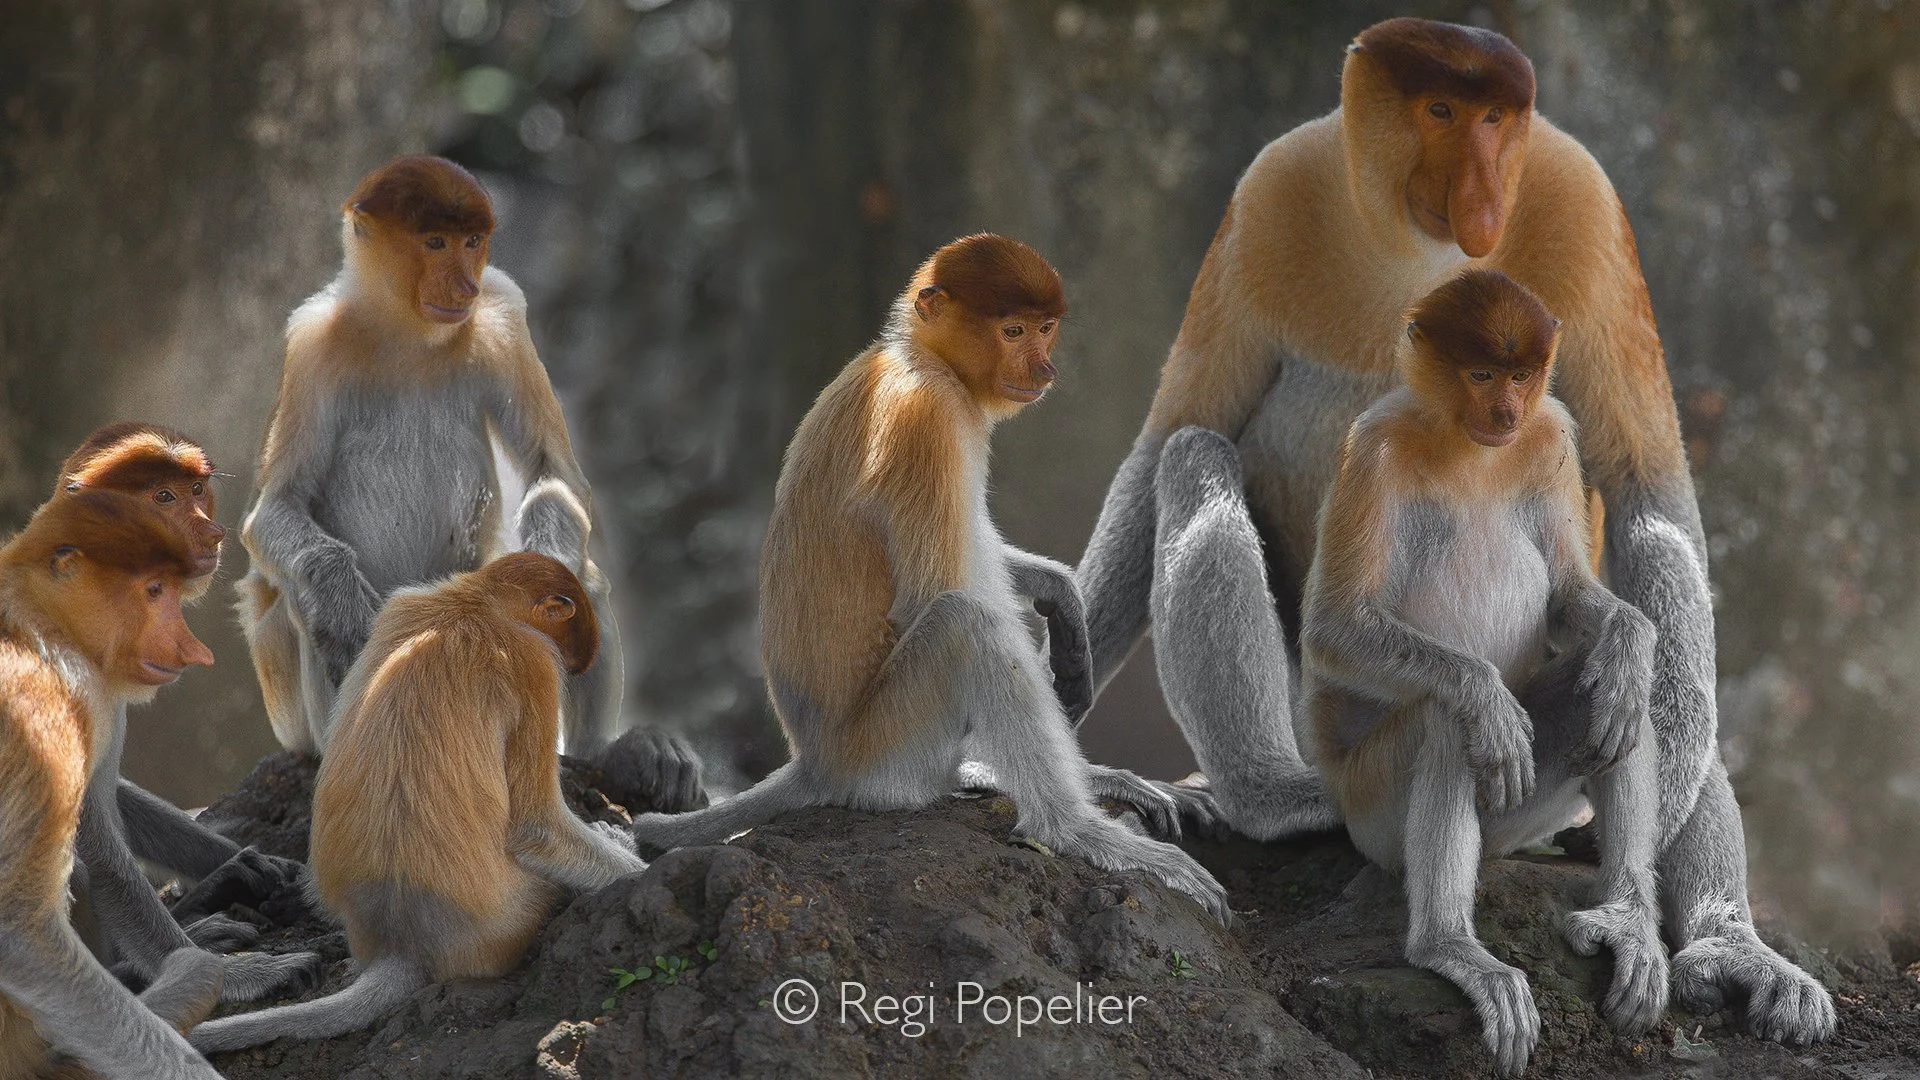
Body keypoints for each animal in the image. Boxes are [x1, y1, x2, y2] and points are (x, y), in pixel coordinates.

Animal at [0, 490, 243, 1079]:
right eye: (152, 591)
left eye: (171, 592)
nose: (186, 645)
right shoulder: (56, 695)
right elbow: (22, 930)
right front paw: (250, 976)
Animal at [188, 552, 644, 1053]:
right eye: (566, 650)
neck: (476, 603)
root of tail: (402, 942)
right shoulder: (535, 664)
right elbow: (536, 829)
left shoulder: (402, 604)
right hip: (515, 919)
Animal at [233, 153, 703, 807]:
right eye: (434, 242)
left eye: (473, 242)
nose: (464, 289)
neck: (405, 332)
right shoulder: (310, 346)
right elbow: (274, 511)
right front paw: (343, 604)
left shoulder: (503, 309)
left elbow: (554, 471)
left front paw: (549, 576)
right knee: (302, 603)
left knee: (585, 572)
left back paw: (611, 754)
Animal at [627, 235, 1228, 923]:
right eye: (1012, 329)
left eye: (1045, 328)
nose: (1044, 369)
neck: (918, 355)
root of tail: (816, 761)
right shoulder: (927, 416)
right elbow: (931, 596)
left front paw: (1061, 596)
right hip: (885, 752)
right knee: (966, 625)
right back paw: (1069, 827)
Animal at [1301, 270, 1663, 1076]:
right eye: (1481, 375)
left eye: (1522, 376)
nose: (1504, 413)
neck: (1470, 444)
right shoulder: (1373, 449)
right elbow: (1335, 628)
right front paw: (1483, 698)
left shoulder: (1551, 432)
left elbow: (1570, 597)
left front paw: (1631, 641)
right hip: (1371, 811)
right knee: (1442, 724)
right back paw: (1450, 947)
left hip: (1519, 812)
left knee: (1613, 703)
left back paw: (1627, 920)